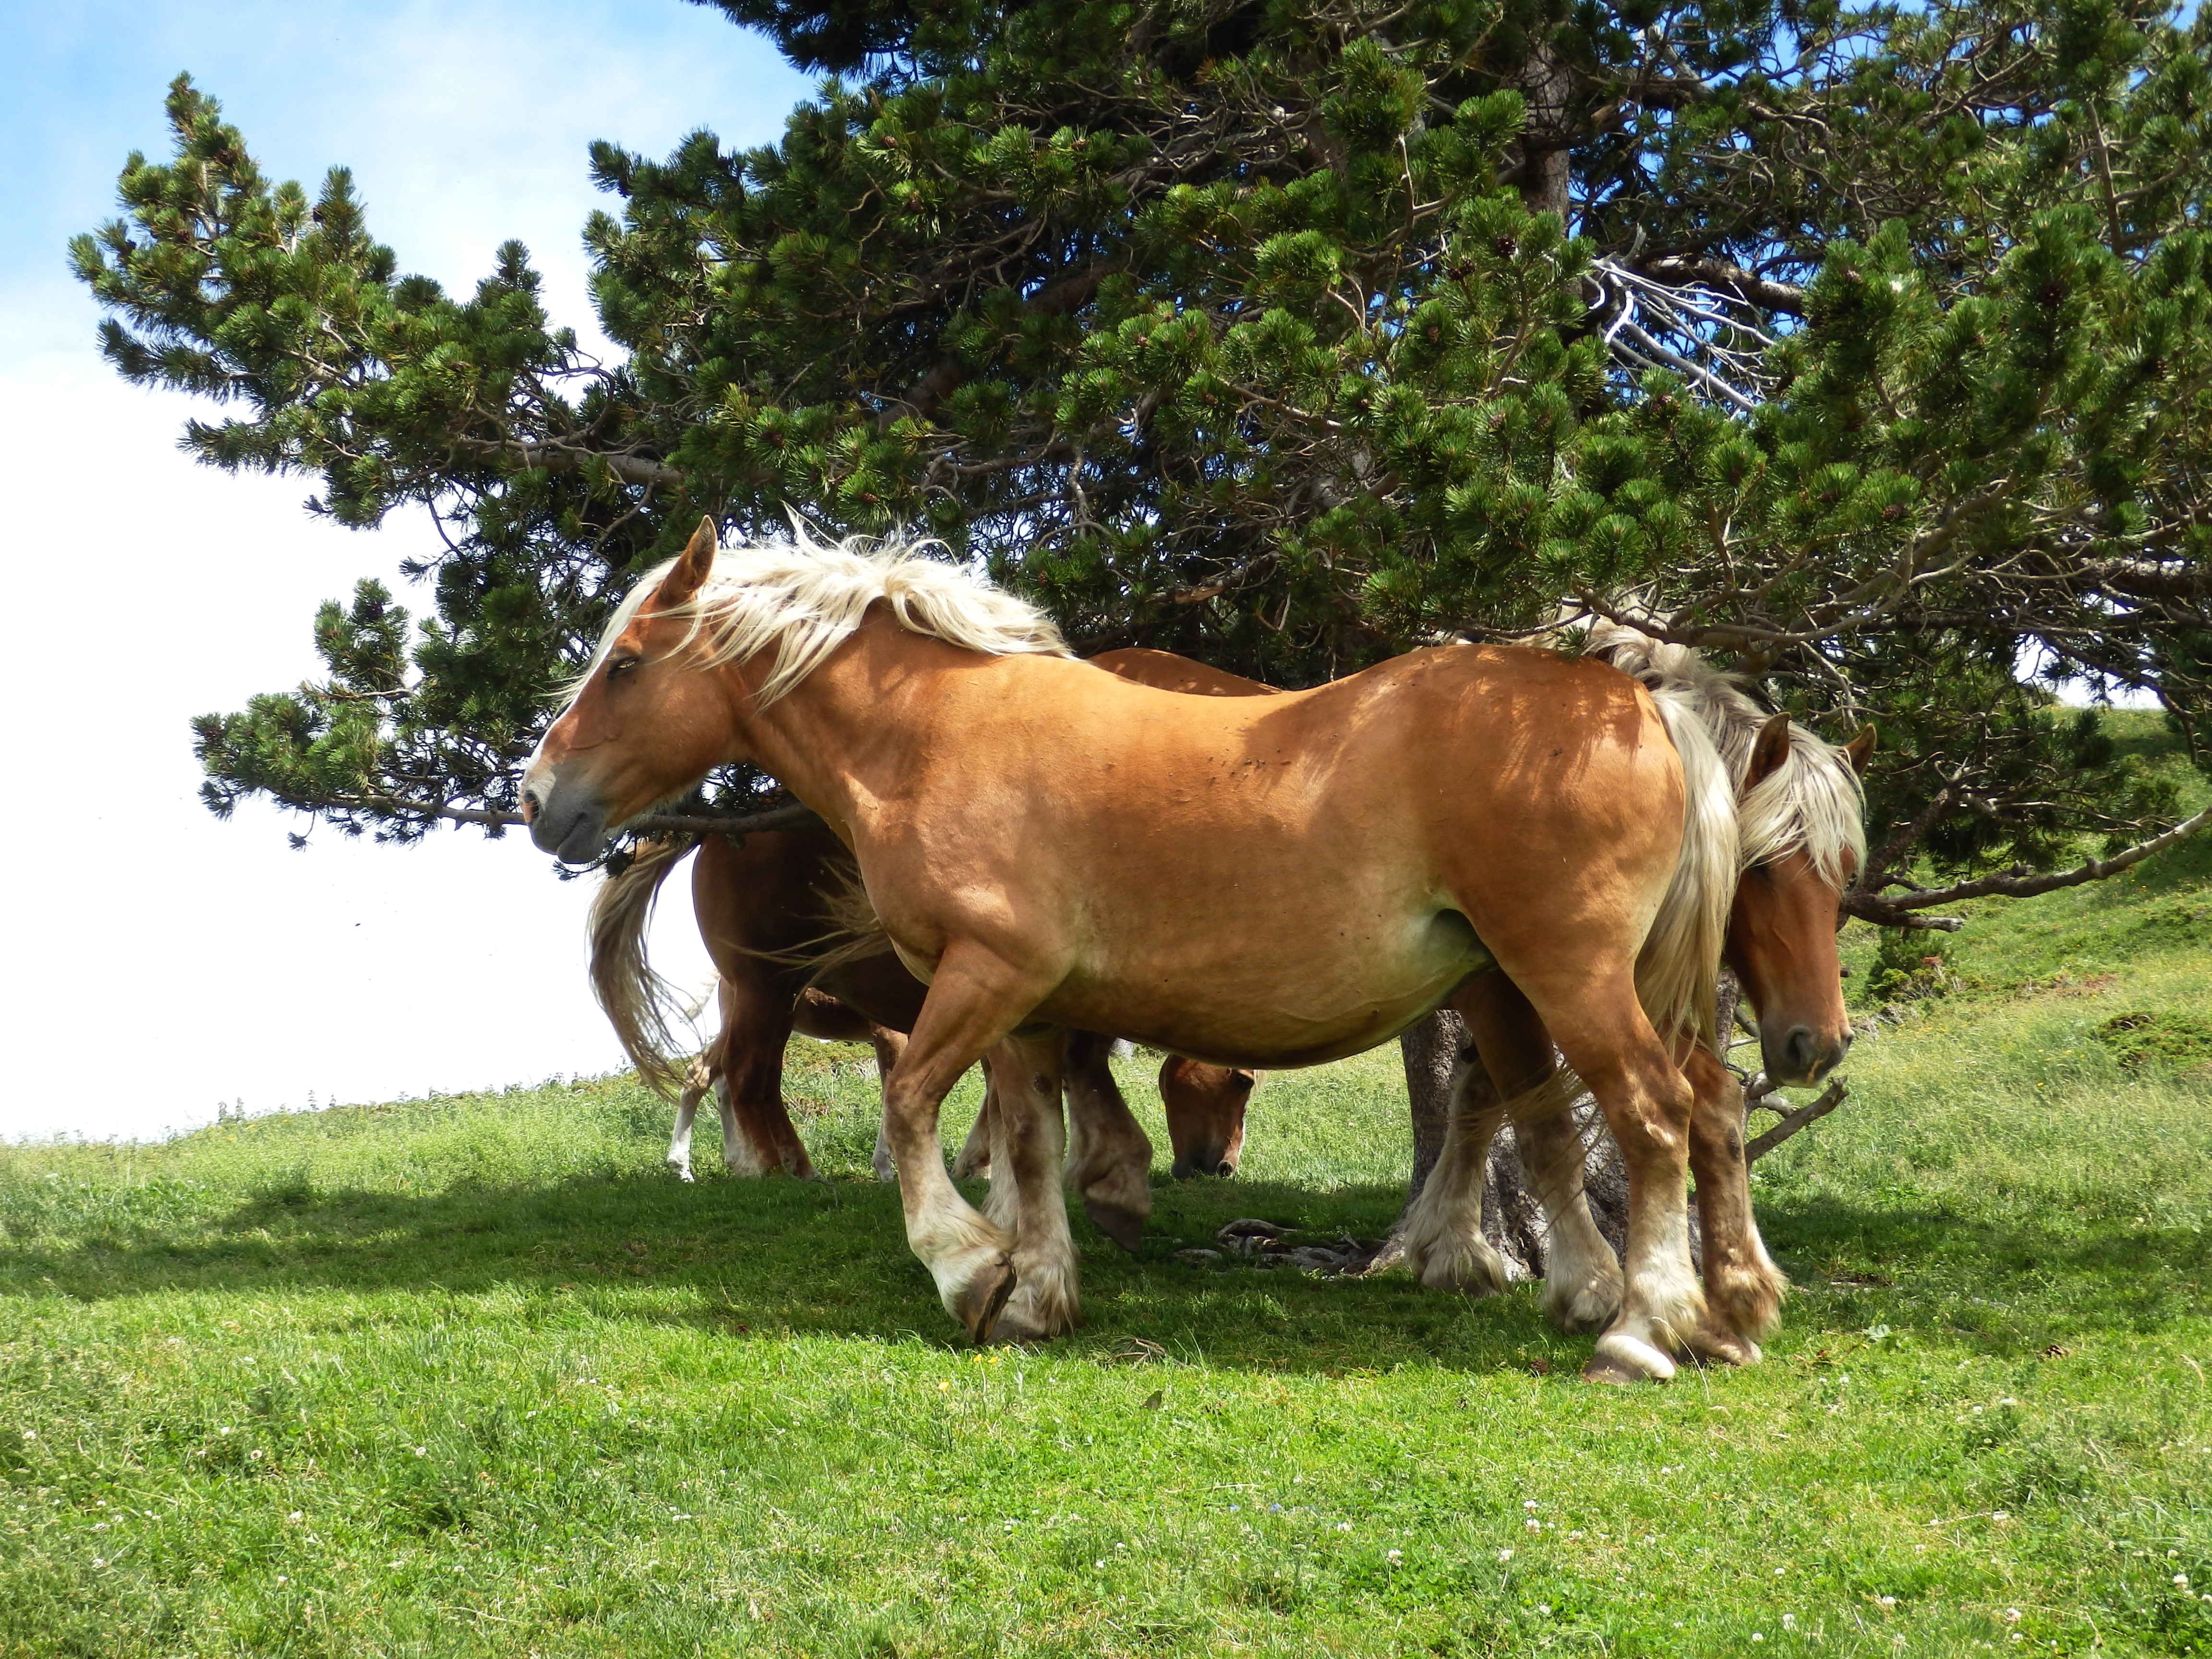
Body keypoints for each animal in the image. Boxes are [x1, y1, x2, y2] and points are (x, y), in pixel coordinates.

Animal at [523, 520, 1856, 1381]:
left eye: (625, 665)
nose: (541, 799)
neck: (937, 738)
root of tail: (1631, 701)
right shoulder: (1022, 1003)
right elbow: (1030, 1136)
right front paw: (1039, 1286)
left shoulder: (985, 977)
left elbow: (912, 1110)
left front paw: (968, 1270)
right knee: (1700, 1103)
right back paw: (1726, 1309)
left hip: (1567, 974)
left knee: (1651, 1112)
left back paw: (1643, 1327)